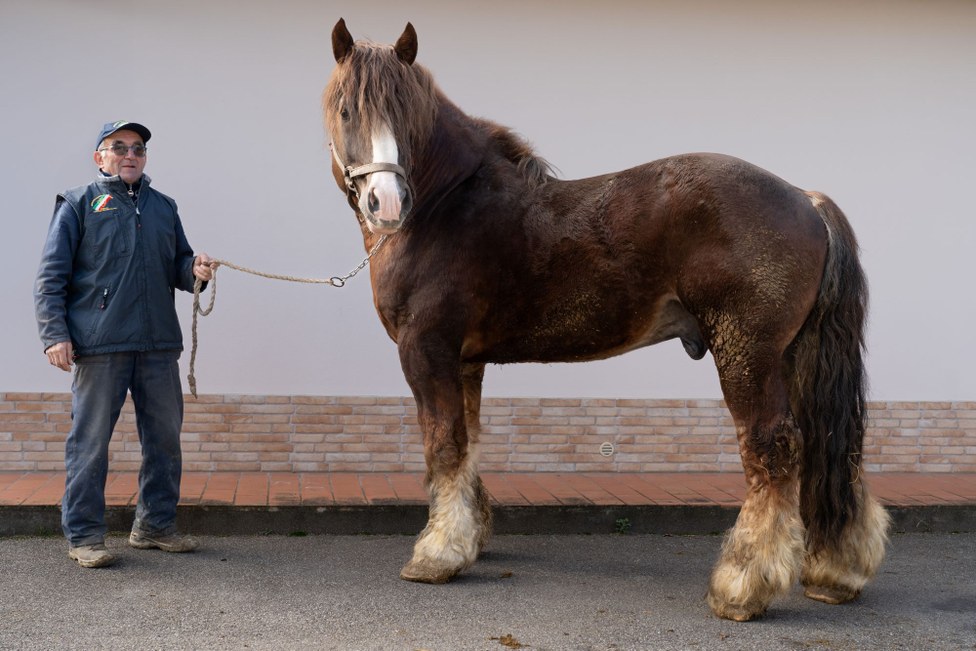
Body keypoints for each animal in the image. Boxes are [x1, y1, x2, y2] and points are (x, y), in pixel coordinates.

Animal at [324, 19, 888, 620]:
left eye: (405, 114)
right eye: (347, 111)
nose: (386, 204)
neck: (447, 206)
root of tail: (806, 200)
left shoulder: (426, 351)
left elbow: (444, 444)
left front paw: (437, 555)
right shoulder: (466, 362)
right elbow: (469, 442)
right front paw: (468, 538)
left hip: (748, 355)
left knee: (773, 450)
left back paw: (742, 586)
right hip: (795, 356)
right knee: (830, 444)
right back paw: (835, 572)